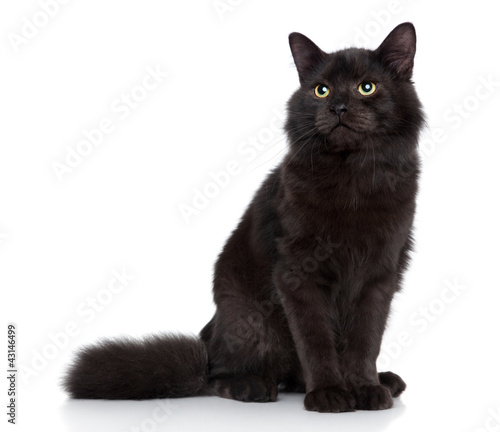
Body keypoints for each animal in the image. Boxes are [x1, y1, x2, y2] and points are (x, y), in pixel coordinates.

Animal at [64, 22, 426, 414]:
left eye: (366, 86)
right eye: (321, 90)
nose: (338, 107)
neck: (352, 177)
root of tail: (208, 338)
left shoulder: (379, 274)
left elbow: (365, 341)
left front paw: (365, 389)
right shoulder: (298, 272)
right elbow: (316, 340)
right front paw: (330, 393)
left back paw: (385, 381)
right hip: (252, 321)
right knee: (219, 375)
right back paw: (252, 387)